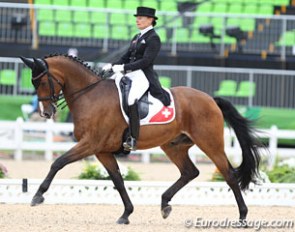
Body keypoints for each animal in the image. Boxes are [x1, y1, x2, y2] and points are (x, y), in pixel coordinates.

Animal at [19, 54, 262, 225]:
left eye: (42, 82)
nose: (46, 113)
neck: (90, 95)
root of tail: (210, 99)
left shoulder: (90, 144)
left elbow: (58, 162)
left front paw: (37, 196)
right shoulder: (101, 150)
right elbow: (117, 180)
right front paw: (126, 214)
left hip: (210, 143)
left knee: (228, 174)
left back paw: (242, 217)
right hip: (173, 146)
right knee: (189, 172)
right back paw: (164, 204)